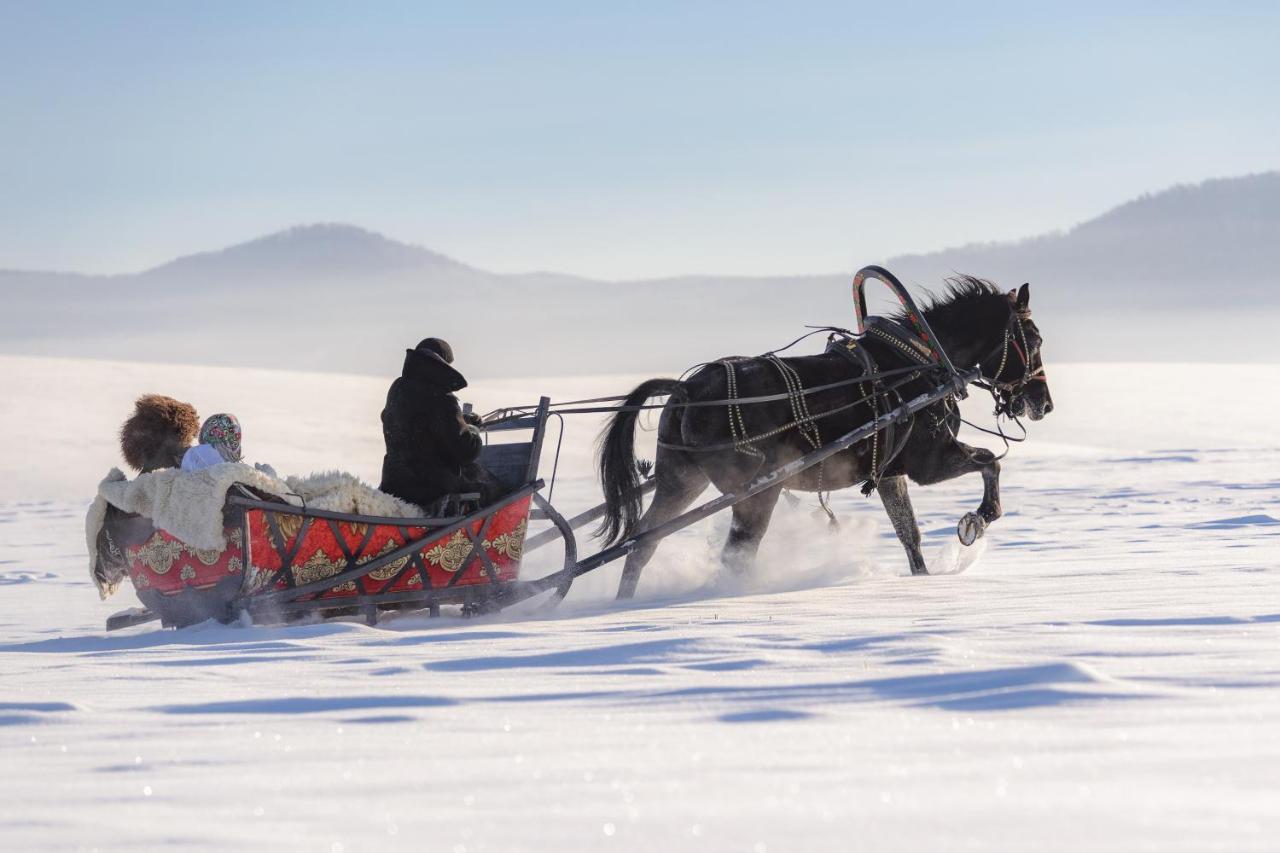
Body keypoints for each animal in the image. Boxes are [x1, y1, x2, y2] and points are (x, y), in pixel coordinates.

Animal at [596, 275, 1049, 594]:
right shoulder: (931, 461)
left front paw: (921, 578)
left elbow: (910, 534)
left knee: (644, 543)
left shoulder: (890, 473)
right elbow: (990, 462)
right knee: (737, 552)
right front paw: (977, 519)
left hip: (681, 479)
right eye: (1034, 339)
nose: (1044, 403)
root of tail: (686, 390)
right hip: (757, 491)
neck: (922, 361)